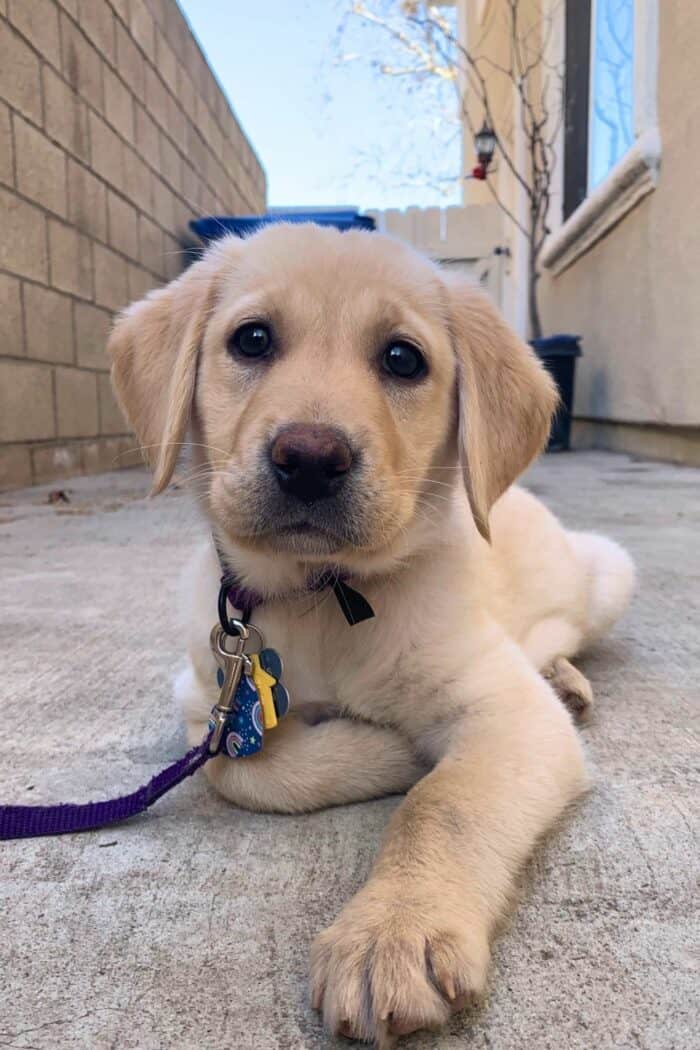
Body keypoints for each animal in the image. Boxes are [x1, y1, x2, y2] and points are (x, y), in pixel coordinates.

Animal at [108, 225, 633, 1045]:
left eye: (402, 358)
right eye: (251, 339)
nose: (309, 458)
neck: (325, 595)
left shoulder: (509, 714)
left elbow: (442, 804)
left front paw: (395, 928)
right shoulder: (205, 702)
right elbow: (250, 771)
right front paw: (384, 751)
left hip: (610, 571)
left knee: (560, 641)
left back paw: (566, 679)